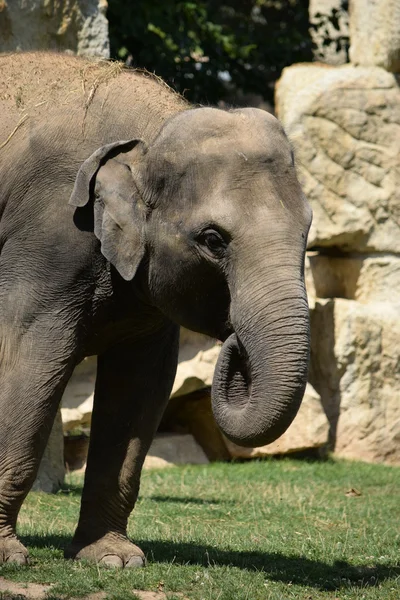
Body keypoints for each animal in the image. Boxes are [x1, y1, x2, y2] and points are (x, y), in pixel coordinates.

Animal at [0, 52, 312, 568]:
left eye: (308, 228)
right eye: (213, 239)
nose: (235, 342)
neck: (148, 133)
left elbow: (141, 385)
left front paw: (113, 560)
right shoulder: (48, 239)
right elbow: (27, 362)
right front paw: (8, 556)